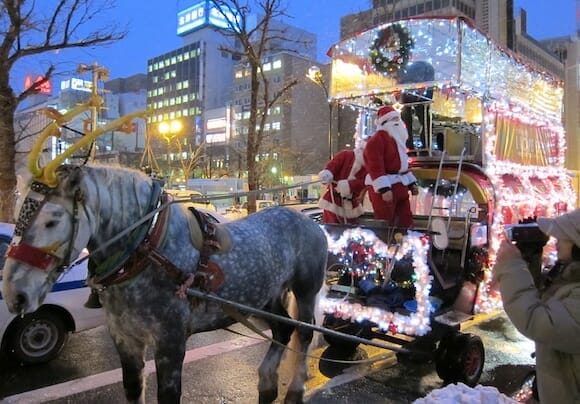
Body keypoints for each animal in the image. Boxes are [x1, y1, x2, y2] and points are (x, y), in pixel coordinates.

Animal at [1, 165, 326, 404]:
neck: (148, 250)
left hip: (305, 290)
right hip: (264, 297)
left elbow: (168, 395)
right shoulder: (125, 339)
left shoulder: (170, 342)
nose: (14, 294)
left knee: (304, 332)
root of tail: (308, 220)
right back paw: (267, 382)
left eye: (52, 221)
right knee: (282, 329)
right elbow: (132, 388)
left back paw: (295, 389)